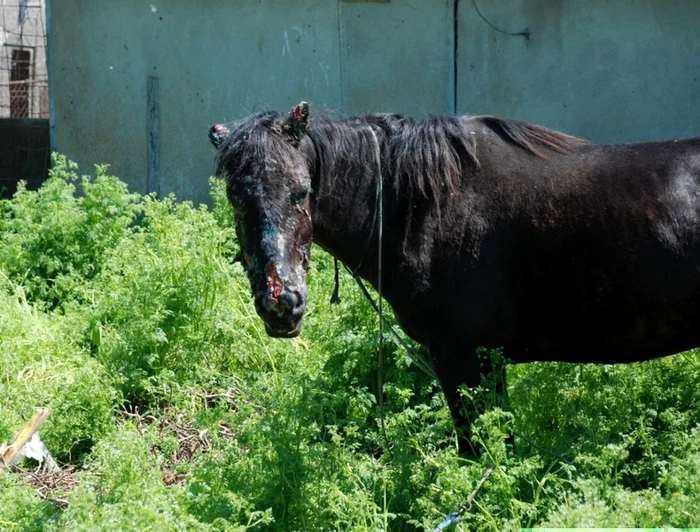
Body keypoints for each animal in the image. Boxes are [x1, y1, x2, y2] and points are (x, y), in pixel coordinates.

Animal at [208, 103, 700, 454]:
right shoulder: (485, 361)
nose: (281, 304)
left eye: (303, 192)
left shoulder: (462, 357)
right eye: (234, 197)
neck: (426, 209)